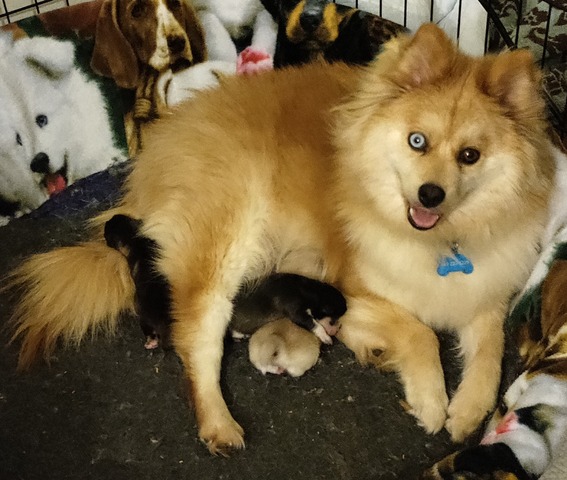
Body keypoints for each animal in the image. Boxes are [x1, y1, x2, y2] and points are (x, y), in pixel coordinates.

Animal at [11, 24, 556, 456]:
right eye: (416, 141)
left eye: (470, 155)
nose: (431, 194)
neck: (439, 242)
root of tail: (156, 151)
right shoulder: (351, 288)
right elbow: (420, 332)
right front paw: (432, 401)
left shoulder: (484, 294)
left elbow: (490, 353)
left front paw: (467, 412)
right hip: (226, 240)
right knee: (196, 340)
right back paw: (220, 425)